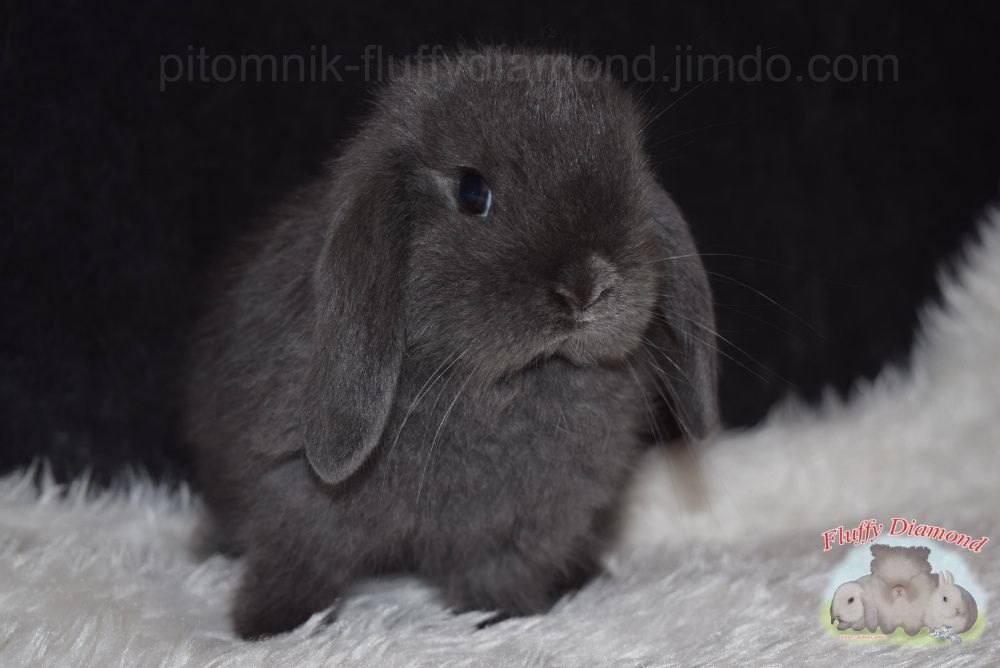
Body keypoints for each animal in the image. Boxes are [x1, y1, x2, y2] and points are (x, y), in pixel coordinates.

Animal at [184, 47, 718, 639]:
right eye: (472, 192)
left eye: (632, 178)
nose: (587, 286)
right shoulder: (294, 499)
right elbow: (297, 562)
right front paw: (272, 629)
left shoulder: (522, 525)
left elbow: (498, 574)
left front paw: (505, 617)